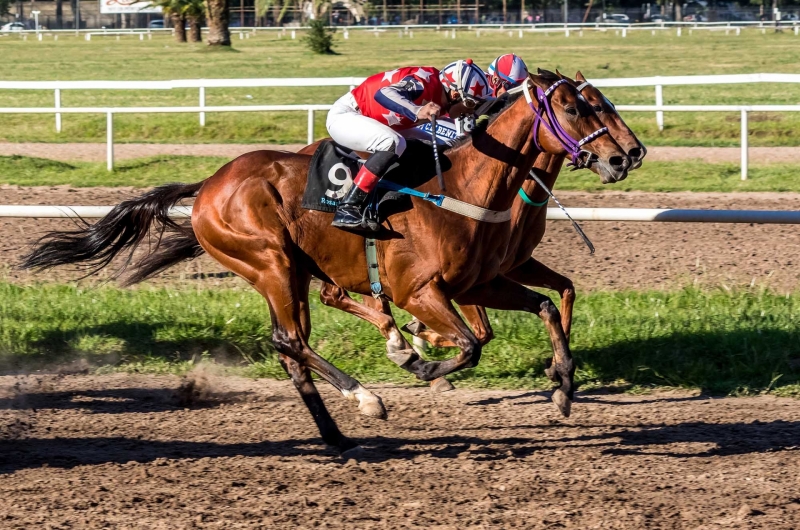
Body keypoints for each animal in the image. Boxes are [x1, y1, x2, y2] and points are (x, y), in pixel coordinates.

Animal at [21, 71, 628, 450]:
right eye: (573, 106)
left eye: (602, 102)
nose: (626, 156)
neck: (466, 187)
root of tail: (210, 184)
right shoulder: (420, 291)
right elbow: (470, 344)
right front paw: (421, 365)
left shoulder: (480, 282)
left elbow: (543, 307)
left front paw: (563, 386)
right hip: (272, 263)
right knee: (290, 340)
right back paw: (366, 397)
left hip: (289, 272)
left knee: (292, 347)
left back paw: (337, 431)